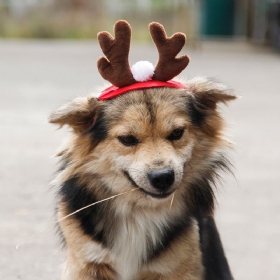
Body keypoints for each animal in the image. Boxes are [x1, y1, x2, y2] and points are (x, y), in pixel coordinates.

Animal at [48, 20, 236, 280]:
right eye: (127, 139)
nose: (163, 178)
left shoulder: (179, 266)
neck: (138, 212)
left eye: (177, 133)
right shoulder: (86, 262)